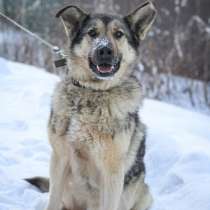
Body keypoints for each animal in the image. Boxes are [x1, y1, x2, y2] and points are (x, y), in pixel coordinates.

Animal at [26, 1, 157, 210]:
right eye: (92, 33)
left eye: (119, 34)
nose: (105, 50)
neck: (93, 93)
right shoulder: (59, 159)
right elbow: (52, 201)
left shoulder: (112, 173)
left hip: (144, 194)